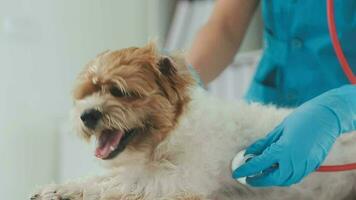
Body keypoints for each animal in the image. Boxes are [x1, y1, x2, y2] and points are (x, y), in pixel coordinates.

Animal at [31, 43, 356, 199]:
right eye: (87, 93)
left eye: (120, 92)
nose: (86, 115)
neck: (170, 137)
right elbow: (99, 177)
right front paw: (57, 187)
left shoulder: (178, 181)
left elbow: (120, 182)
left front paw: (70, 191)